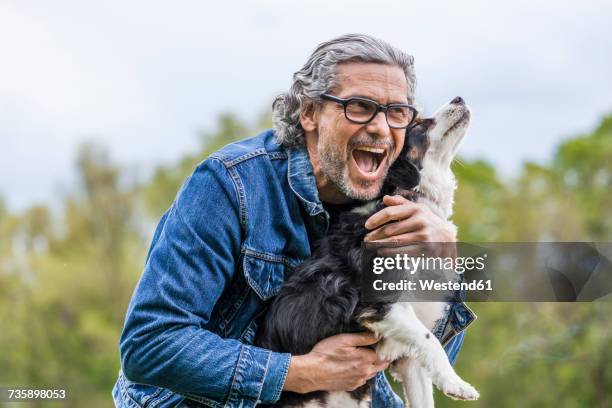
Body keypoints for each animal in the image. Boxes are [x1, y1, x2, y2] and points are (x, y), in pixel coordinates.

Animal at [255, 97, 478, 406]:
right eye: (419, 124)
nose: (459, 98)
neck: (411, 198)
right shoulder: (382, 305)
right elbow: (431, 342)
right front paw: (456, 384)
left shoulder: (408, 357)